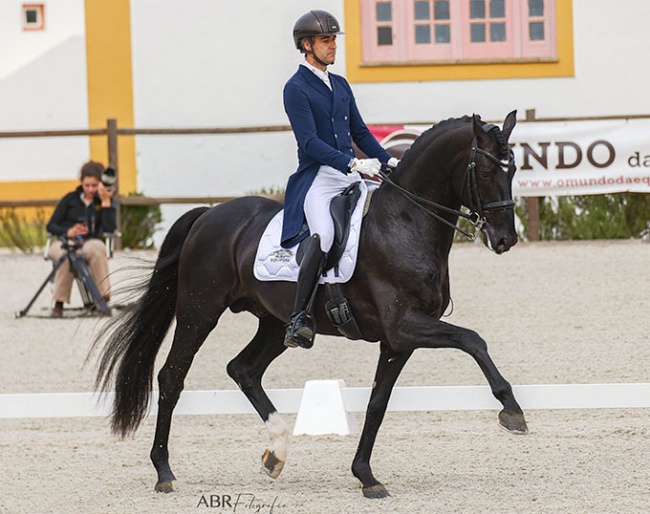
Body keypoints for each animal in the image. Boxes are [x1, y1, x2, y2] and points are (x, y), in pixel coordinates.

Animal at [92, 111, 528, 496]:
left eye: (513, 172)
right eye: (486, 172)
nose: (505, 240)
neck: (405, 221)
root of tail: (208, 215)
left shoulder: (397, 342)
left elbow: (377, 404)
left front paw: (366, 477)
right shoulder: (405, 325)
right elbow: (473, 339)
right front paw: (511, 409)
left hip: (273, 323)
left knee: (243, 369)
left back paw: (276, 453)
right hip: (199, 313)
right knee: (172, 378)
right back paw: (164, 472)